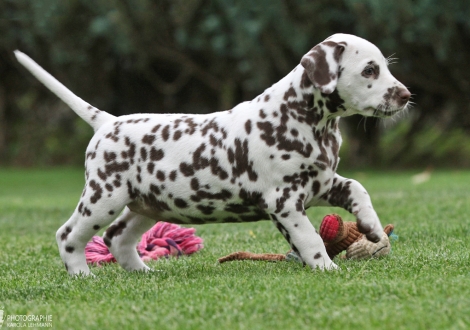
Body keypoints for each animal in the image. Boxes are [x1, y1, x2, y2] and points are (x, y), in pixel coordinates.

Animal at [15, 33, 412, 276]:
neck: (304, 119)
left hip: (145, 205)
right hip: (103, 198)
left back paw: (144, 273)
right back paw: (82, 274)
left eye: (385, 66)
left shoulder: (323, 183)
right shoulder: (285, 201)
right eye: (370, 70)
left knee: (117, 238)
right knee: (68, 235)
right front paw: (325, 266)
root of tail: (107, 122)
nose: (406, 95)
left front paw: (371, 227)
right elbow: (311, 238)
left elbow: (359, 188)